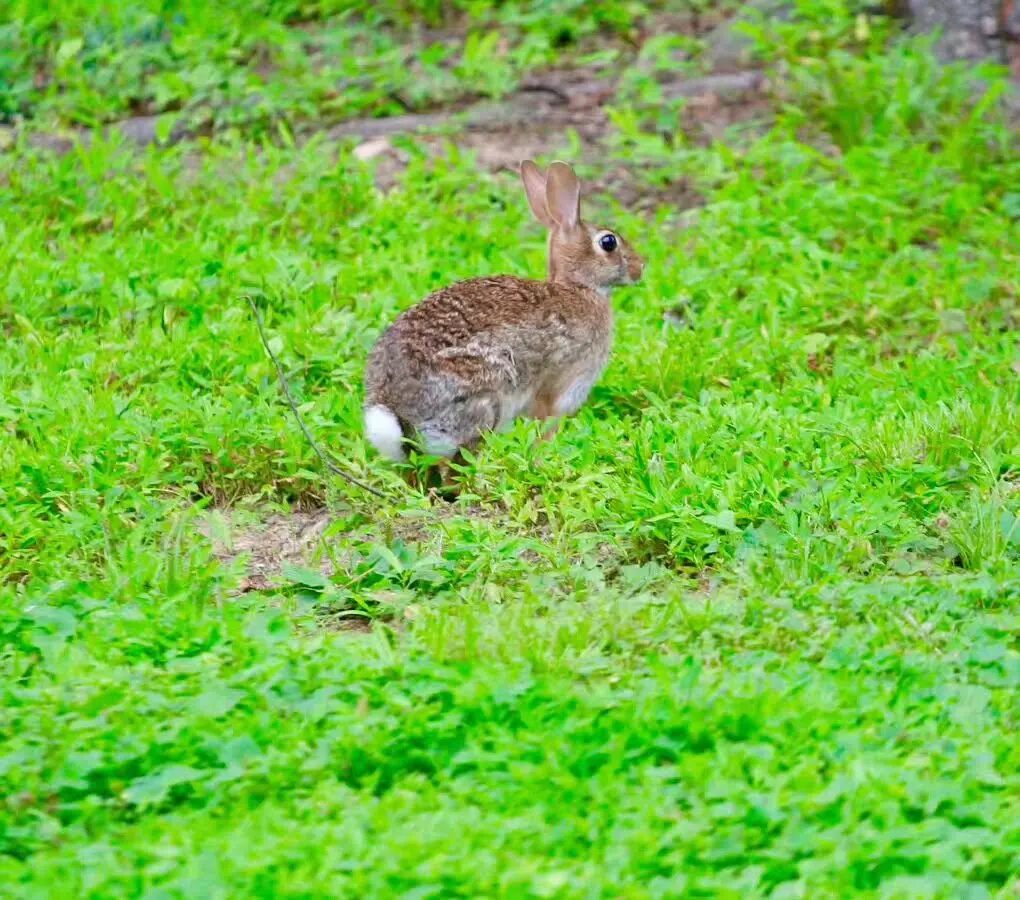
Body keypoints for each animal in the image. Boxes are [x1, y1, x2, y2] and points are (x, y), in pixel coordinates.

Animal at [363, 159, 644, 464]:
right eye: (608, 242)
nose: (640, 268)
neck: (578, 288)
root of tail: (397, 414)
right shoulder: (556, 391)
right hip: (486, 399)